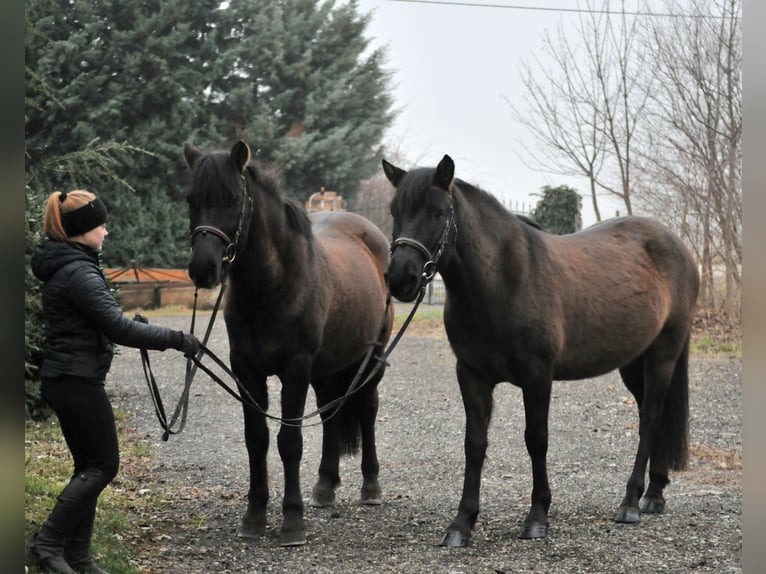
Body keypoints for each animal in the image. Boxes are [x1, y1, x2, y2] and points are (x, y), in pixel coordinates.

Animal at [183, 142, 392, 548]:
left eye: (233, 199)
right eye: (190, 199)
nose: (203, 268)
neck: (272, 285)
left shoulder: (295, 369)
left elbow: (289, 442)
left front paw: (292, 521)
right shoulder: (246, 371)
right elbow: (257, 439)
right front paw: (254, 516)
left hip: (371, 359)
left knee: (367, 409)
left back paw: (371, 486)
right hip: (327, 368)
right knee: (330, 413)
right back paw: (325, 487)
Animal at [384, 154, 704, 548]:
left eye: (438, 212)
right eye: (394, 210)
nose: (400, 278)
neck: (503, 280)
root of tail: (677, 245)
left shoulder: (538, 377)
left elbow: (536, 440)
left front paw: (537, 517)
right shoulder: (471, 376)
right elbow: (474, 444)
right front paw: (462, 523)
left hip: (662, 356)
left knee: (650, 419)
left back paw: (630, 502)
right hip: (633, 363)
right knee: (650, 414)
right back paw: (654, 494)